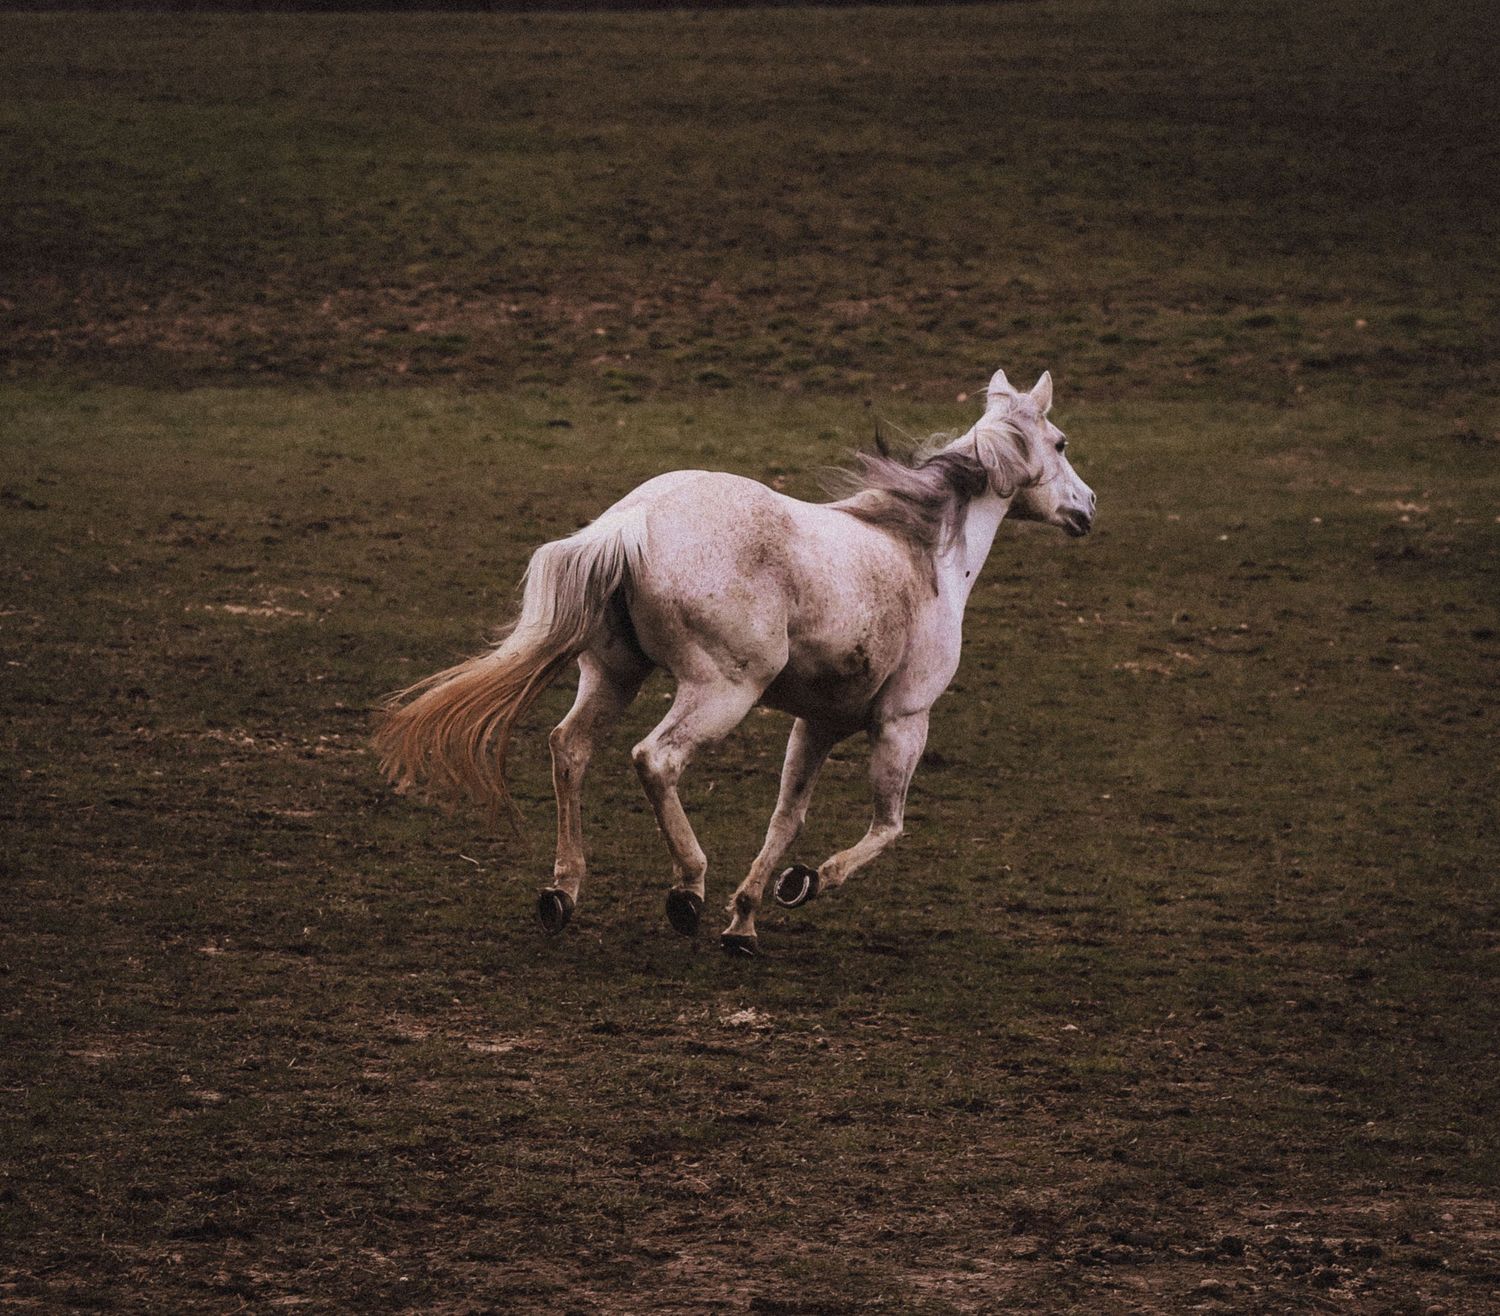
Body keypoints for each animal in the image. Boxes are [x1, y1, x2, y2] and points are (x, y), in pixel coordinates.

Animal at [375, 367, 1095, 954]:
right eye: (1061, 443)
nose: (1087, 508)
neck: (927, 555)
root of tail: (631, 522)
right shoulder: (902, 722)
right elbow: (888, 827)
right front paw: (800, 884)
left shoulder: (818, 723)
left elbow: (787, 815)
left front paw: (746, 920)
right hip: (722, 689)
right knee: (655, 758)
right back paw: (686, 891)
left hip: (615, 675)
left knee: (569, 749)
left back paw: (563, 893)